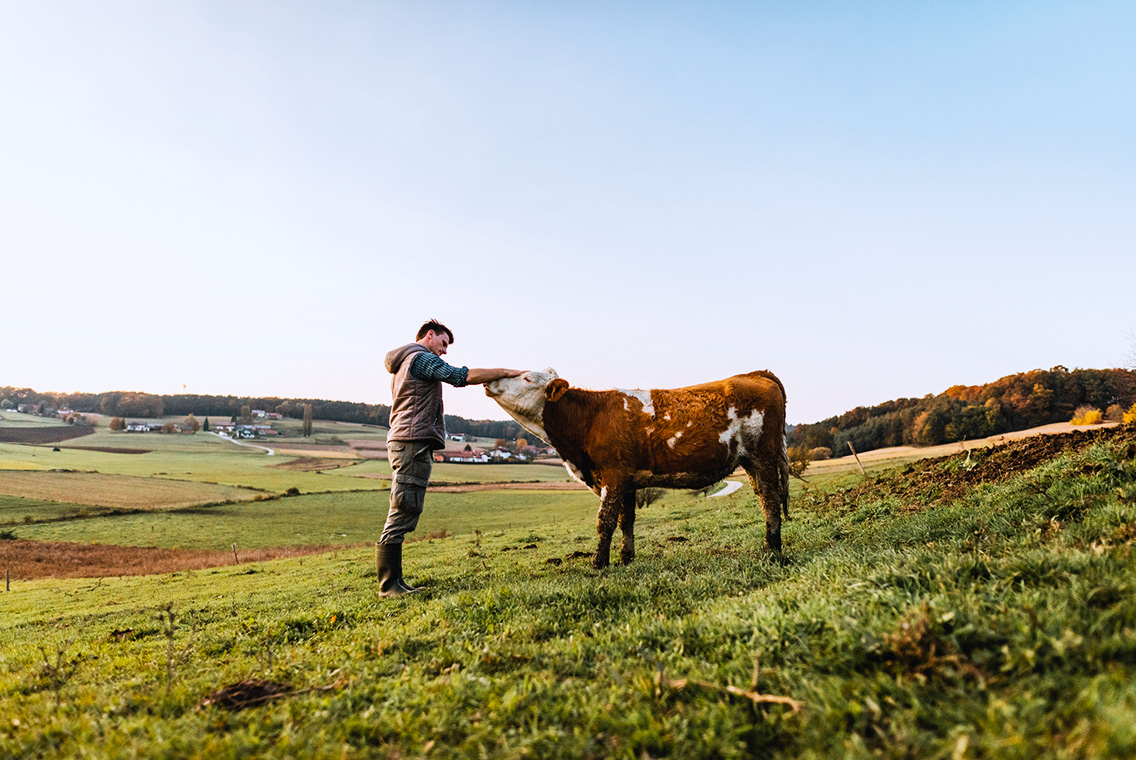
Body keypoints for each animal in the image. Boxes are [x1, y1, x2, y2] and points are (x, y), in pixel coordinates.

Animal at [484, 369, 789, 569]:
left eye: (526, 378)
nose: (490, 380)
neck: (590, 418)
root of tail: (755, 373)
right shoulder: (627, 480)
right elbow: (625, 520)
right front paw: (625, 558)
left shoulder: (612, 474)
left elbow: (605, 520)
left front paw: (599, 564)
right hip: (750, 461)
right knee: (764, 499)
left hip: (763, 454)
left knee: (771, 499)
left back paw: (772, 550)